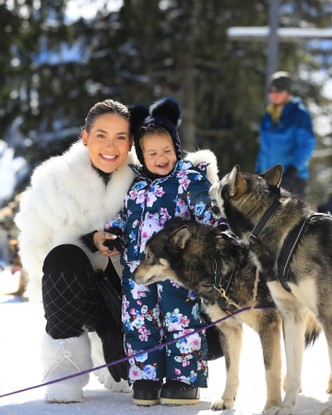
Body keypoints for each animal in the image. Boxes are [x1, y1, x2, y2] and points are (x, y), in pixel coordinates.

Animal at [134, 218, 284, 412]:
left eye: (149, 256)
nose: (132, 275)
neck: (217, 267)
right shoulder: (230, 330)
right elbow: (230, 369)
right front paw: (226, 400)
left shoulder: (268, 325)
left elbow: (271, 370)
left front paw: (272, 406)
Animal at [210, 164, 332, 414]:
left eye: (221, 182)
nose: (210, 183)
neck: (289, 238)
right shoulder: (292, 315)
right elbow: (293, 371)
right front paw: (285, 407)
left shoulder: (327, 315)